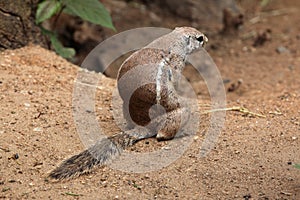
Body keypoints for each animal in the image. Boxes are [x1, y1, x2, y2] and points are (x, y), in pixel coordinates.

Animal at [49, 26, 209, 180]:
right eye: (199, 38)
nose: (206, 40)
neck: (175, 39)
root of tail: (144, 126)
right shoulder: (176, 64)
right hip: (175, 116)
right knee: (163, 133)